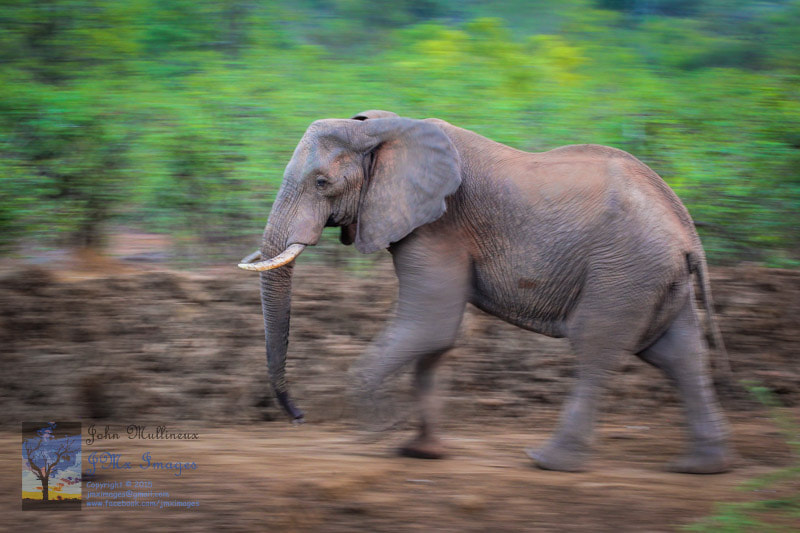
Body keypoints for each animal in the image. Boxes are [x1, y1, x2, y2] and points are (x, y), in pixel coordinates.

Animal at [238, 109, 732, 474]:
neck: (382, 127)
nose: (299, 418)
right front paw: (423, 452)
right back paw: (701, 466)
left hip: (625, 269)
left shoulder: (438, 224)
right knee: (679, 353)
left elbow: (430, 325)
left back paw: (548, 462)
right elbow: (435, 339)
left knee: (597, 345)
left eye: (321, 182)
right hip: (654, 276)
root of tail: (688, 232)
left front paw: (377, 431)